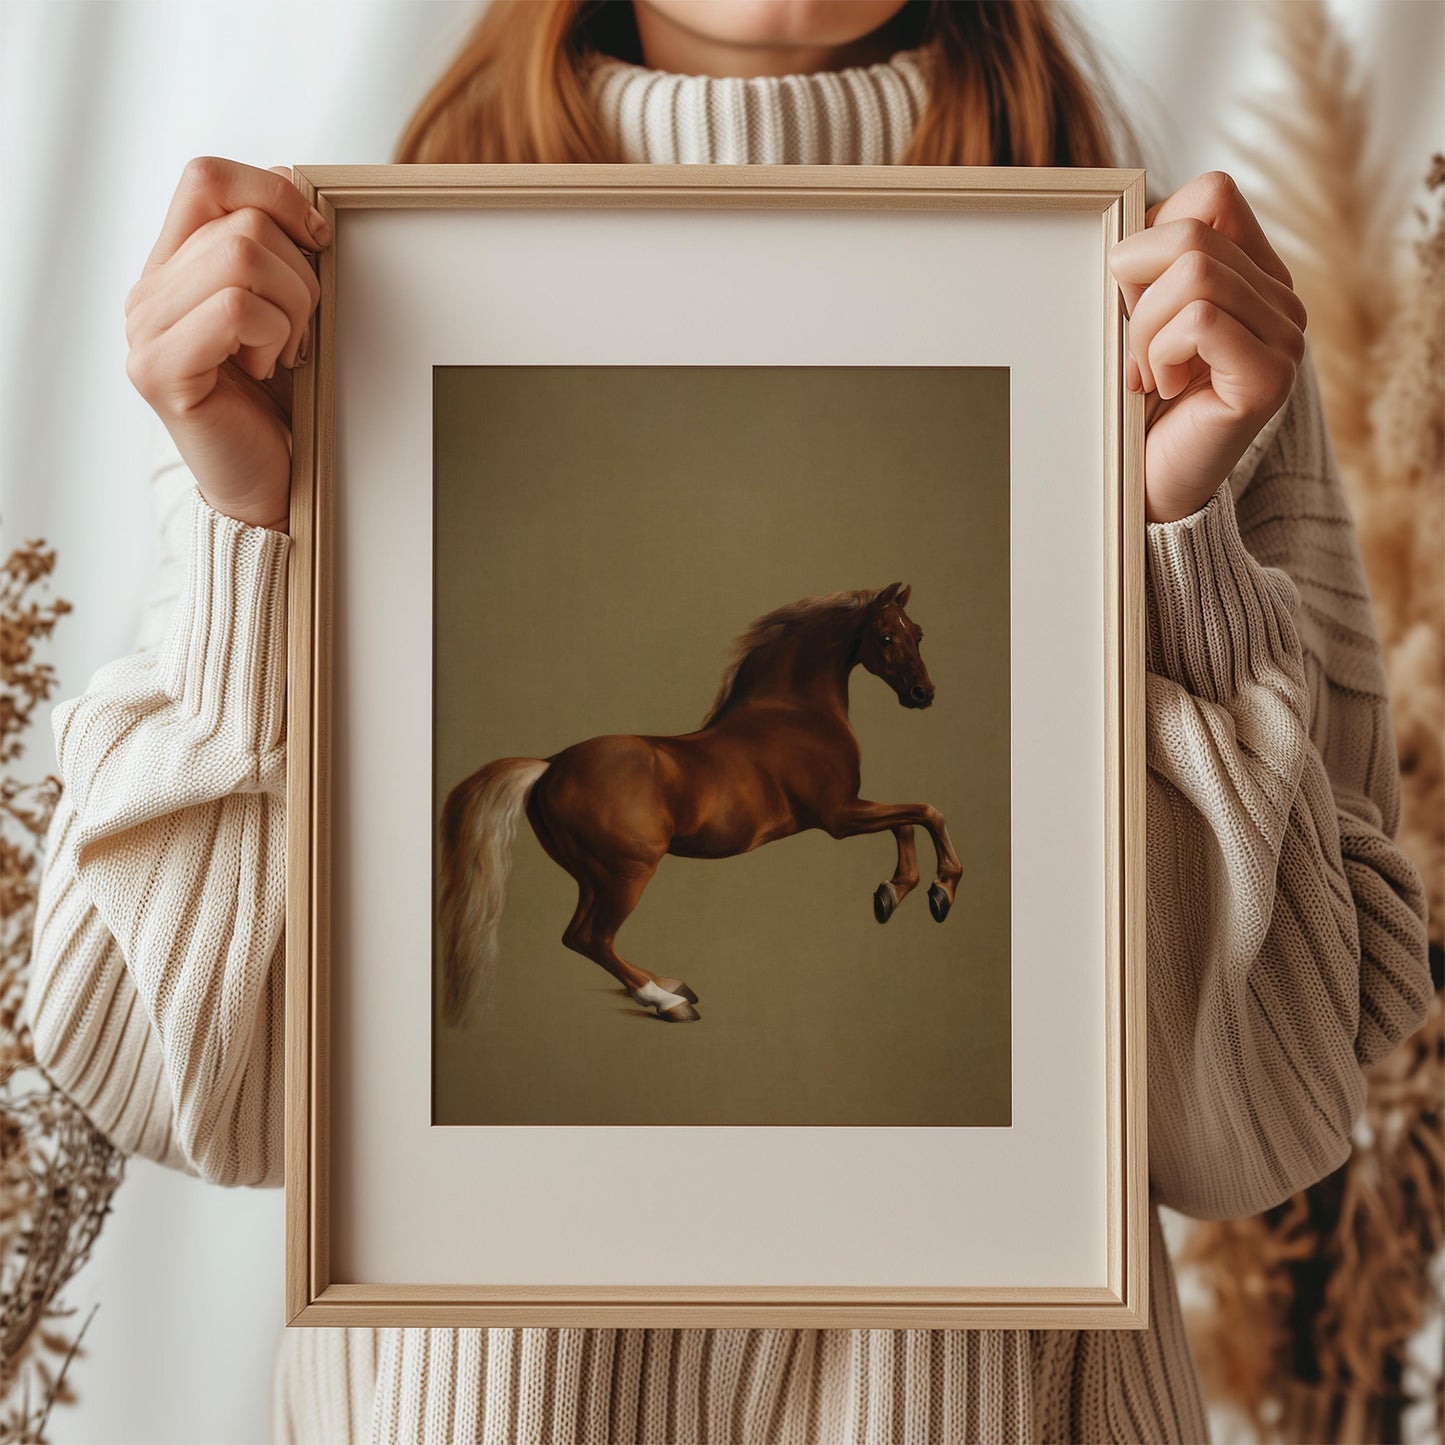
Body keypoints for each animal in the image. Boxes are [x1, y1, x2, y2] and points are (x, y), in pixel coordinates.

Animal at [439, 580, 959, 1023]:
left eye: (918, 633)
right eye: (886, 637)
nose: (924, 693)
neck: (795, 714)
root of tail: (549, 766)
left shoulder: (849, 810)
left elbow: (908, 821)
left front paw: (891, 894)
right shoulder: (839, 815)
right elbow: (926, 812)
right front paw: (941, 892)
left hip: (593, 876)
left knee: (583, 937)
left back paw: (668, 984)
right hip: (628, 873)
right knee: (591, 937)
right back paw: (666, 1000)